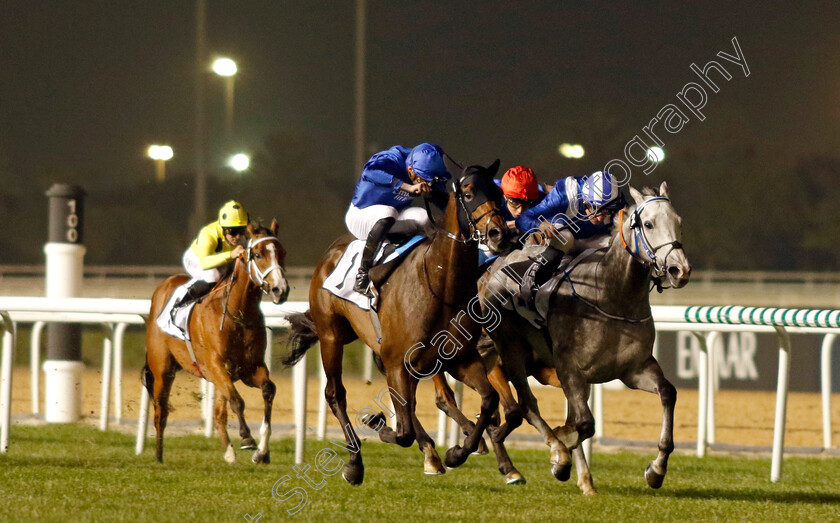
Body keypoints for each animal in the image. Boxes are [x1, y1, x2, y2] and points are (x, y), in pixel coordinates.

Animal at [143, 221, 290, 462]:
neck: (238, 314)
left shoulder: (250, 368)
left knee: (219, 413)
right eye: (258, 254)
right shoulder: (216, 365)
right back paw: (159, 457)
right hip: (163, 370)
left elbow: (269, 389)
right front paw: (247, 438)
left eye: (282, 253)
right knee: (161, 412)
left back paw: (229, 452)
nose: (281, 290)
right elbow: (237, 401)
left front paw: (262, 451)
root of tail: (162, 287)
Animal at [282, 158, 508, 486]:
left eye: (497, 192)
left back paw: (433, 452)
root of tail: (331, 251)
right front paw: (377, 424)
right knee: (335, 394)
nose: (497, 234)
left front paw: (458, 452)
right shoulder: (398, 362)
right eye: (468, 193)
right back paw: (355, 462)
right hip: (331, 335)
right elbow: (402, 432)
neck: (440, 284)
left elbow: (489, 400)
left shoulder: (460, 358)